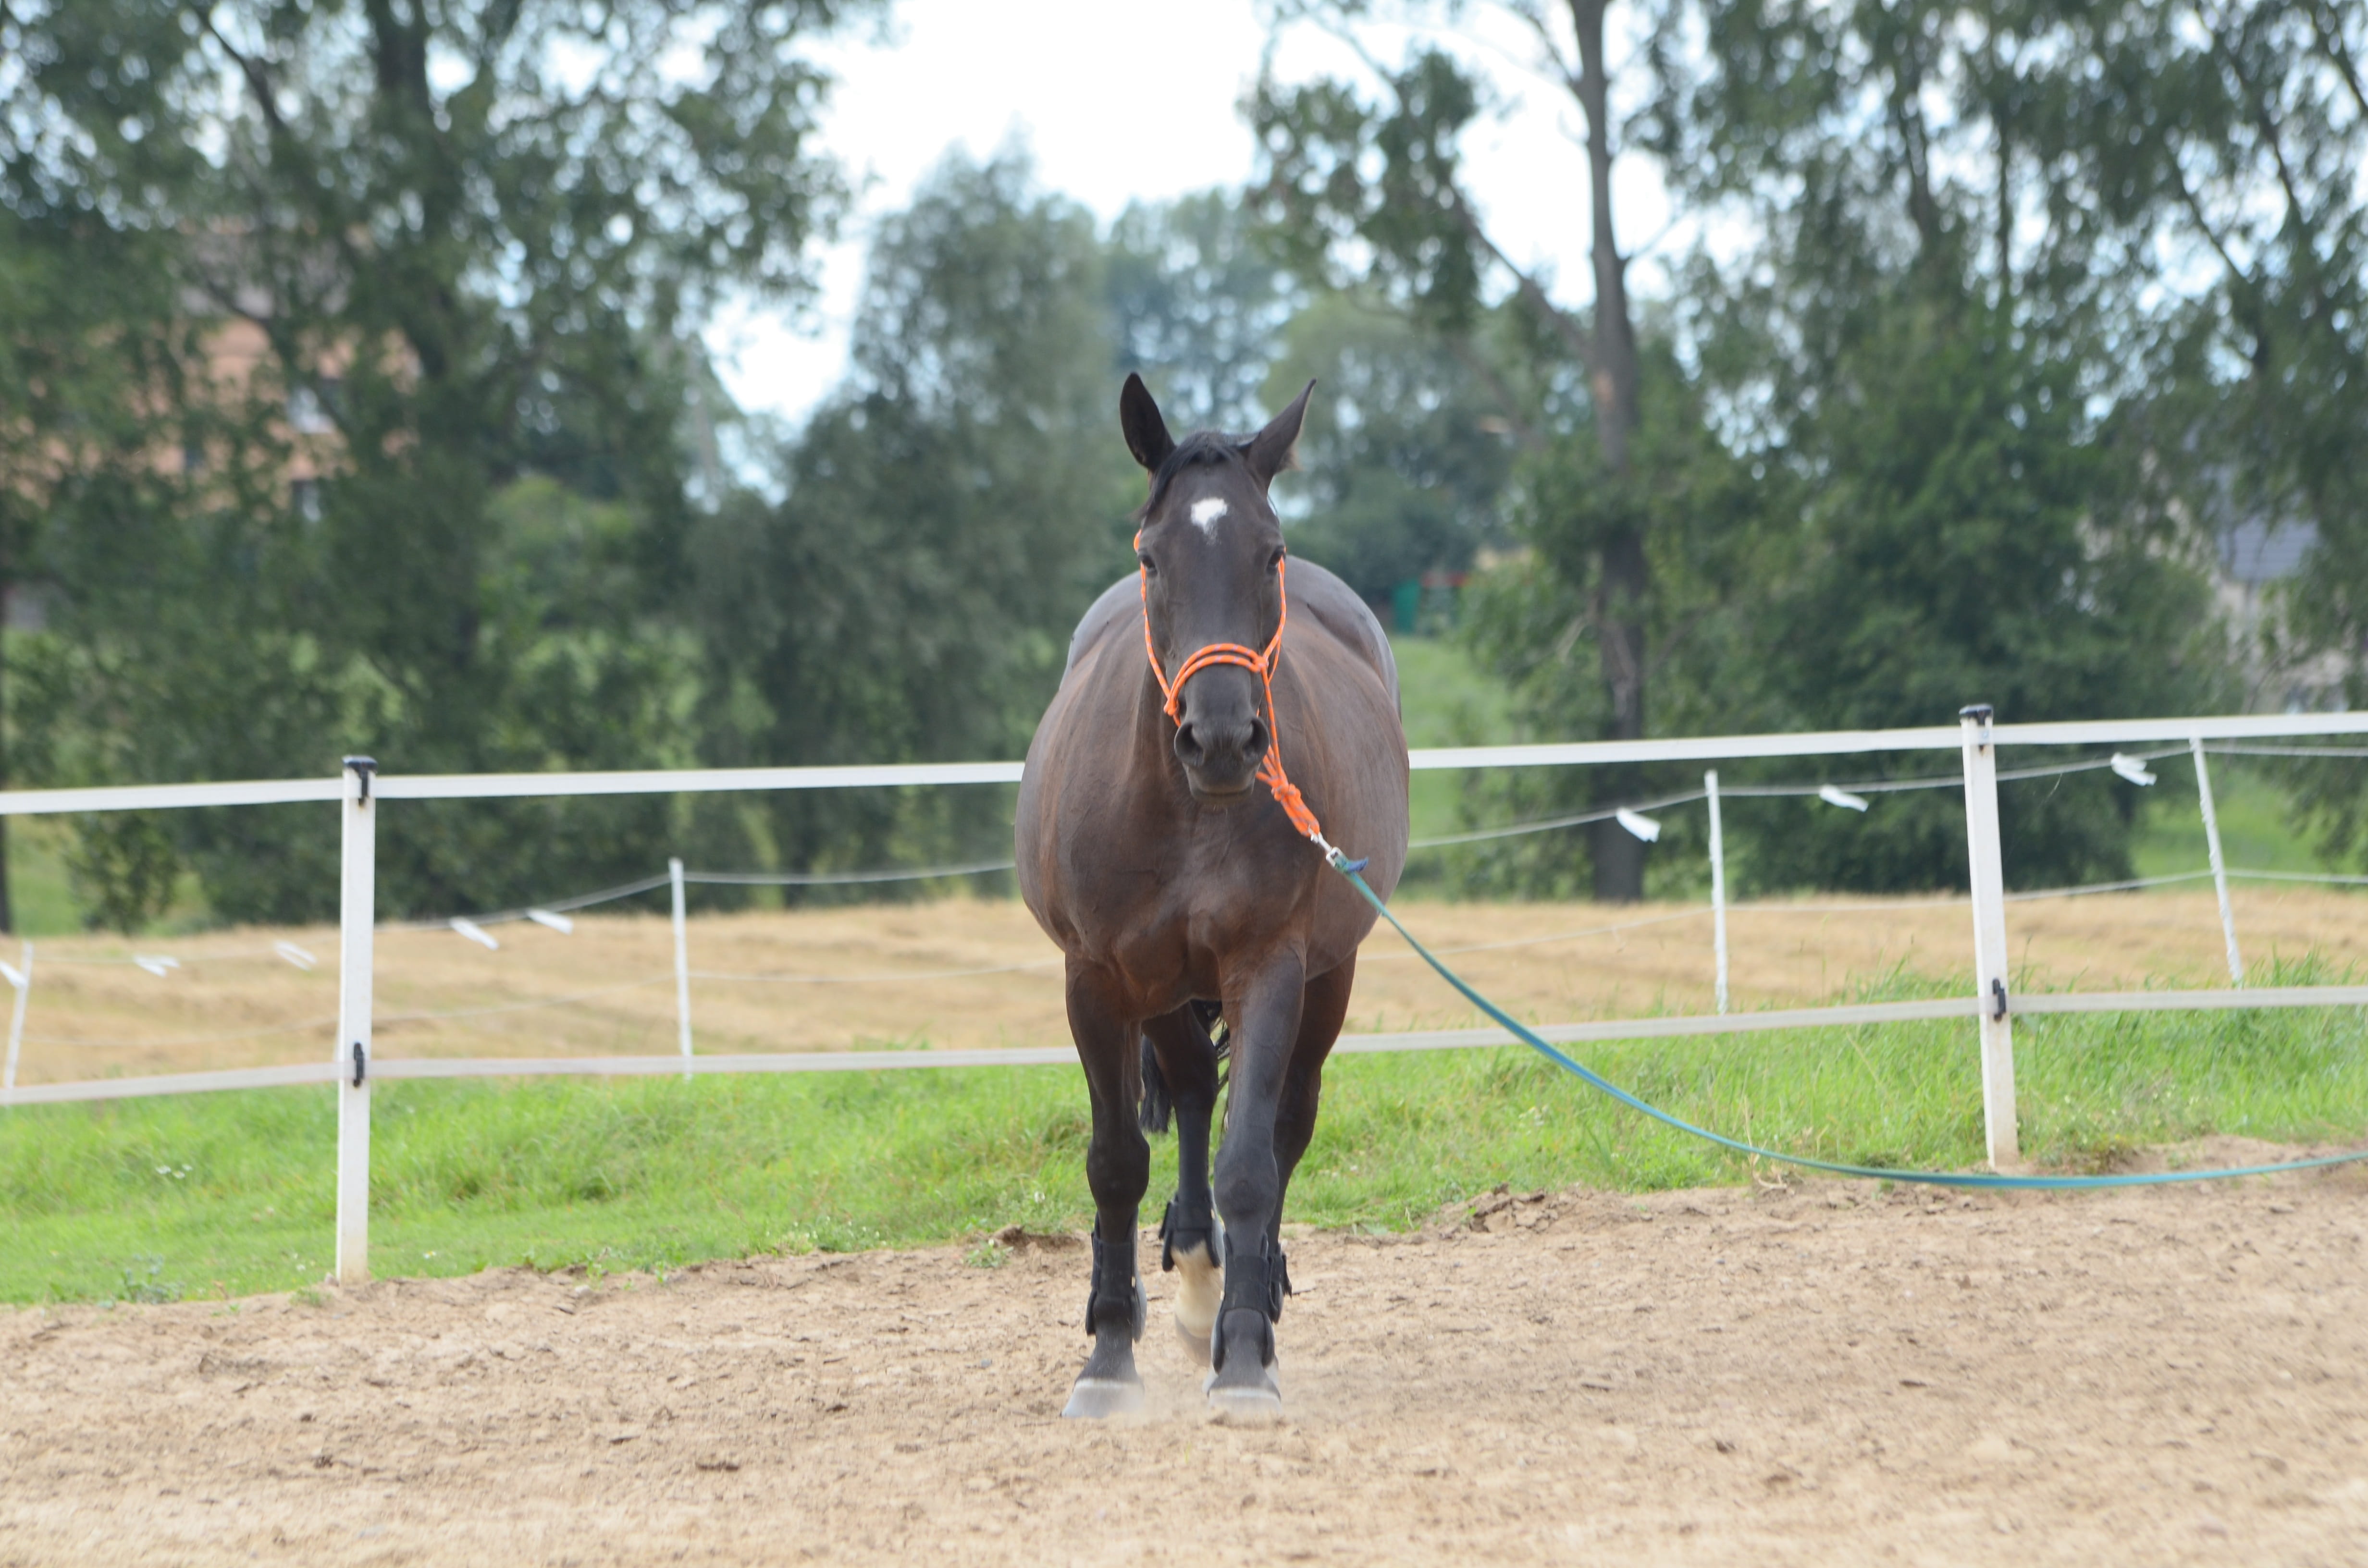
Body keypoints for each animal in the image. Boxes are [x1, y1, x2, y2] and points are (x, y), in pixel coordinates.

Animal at [1014, 374, 1410, 1418]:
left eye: (1269, 552)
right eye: (1151, 557)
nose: (1223, 737)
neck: (1186, 808)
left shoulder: (1268, 966)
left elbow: (1249, 1164)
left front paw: (1241, 1357)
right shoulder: (1098, 977)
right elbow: (1116, 1162)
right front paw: (1109, 1354)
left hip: (1325, 978)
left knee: (1281, 1125)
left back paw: (1242, 1297)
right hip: (1159, 984)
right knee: (1192, 1088)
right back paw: (1190, 1277)